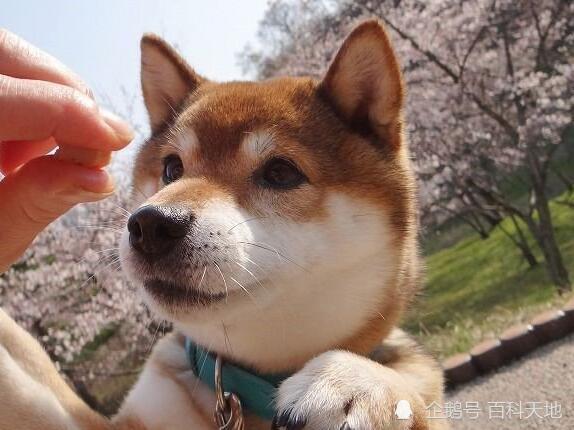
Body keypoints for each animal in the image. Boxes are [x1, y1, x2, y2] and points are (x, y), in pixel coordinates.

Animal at [0, 19, 448, 426]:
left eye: (281, 172)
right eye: (171, 168)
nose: (151, 225)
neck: (245, 387)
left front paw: (355, 381)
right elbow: (32, 385)